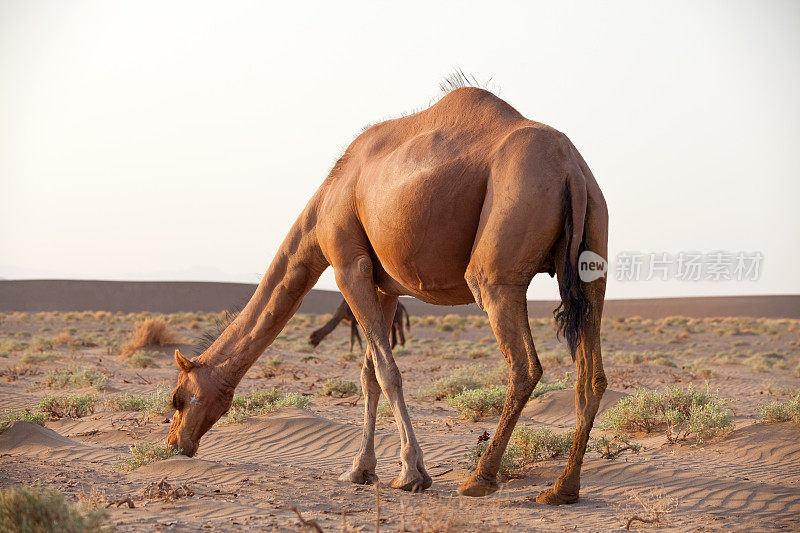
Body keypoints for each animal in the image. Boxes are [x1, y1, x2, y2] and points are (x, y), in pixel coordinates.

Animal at [167, 83, 608, 502]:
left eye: (177, 398)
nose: (175, 443)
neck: (326, 200)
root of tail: (570, 168)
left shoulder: (349, 264)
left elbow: (386, 370)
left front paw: (411, 473)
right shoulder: (385, 286)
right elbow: (369, 374)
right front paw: (360, 470)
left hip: (498, 263)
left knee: (524, 365)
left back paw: (479, 479)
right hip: (593, 254)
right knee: (592, 375)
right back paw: (561, 490)